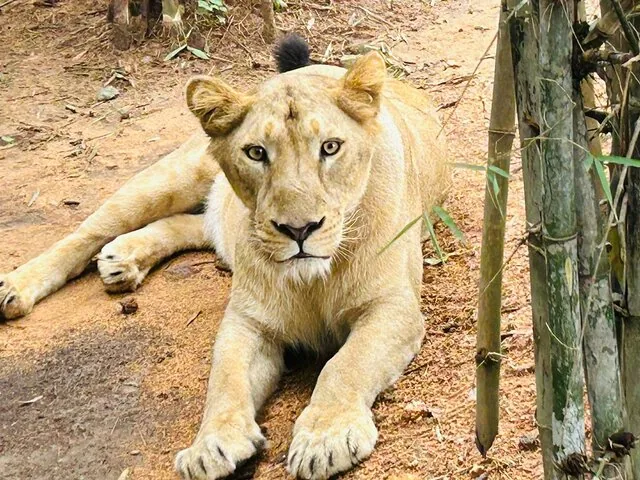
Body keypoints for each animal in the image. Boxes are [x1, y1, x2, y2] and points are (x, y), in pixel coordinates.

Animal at [0, 35, 449, 479]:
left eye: (331, 147)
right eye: (256, 153)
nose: (299, 230)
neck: (312, 278)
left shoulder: (393, 308)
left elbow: (345, 365)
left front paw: (326, 436)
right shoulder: (248, 319)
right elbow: (226, 378)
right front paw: (211, 445)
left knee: (191, 224)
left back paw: (122, 260)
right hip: (171, 178)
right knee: (87, 232)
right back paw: (17, 288)